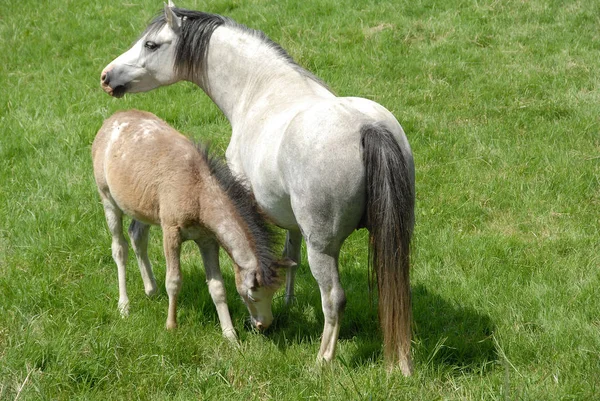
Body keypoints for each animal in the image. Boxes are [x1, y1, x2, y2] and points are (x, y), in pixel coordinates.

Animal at [92, 108, 290, 340]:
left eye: (274, 293)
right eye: (252, 295)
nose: (263, 325)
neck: (197, 191)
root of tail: (110, 121)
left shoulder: (207, 240)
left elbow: (217, 286)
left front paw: (230, 335)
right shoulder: (171, 231)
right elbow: (174, 280)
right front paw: (171, 325)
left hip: (142, 208)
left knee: (137, 236)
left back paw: (151, 290)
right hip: (108, 199)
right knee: (120, 248)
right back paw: (124, 305)